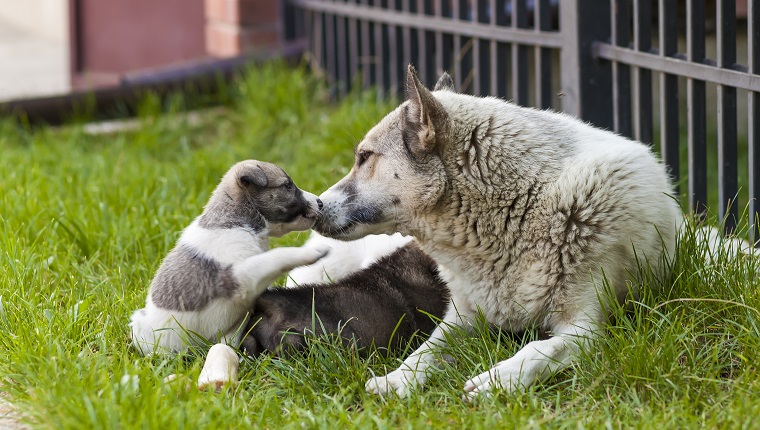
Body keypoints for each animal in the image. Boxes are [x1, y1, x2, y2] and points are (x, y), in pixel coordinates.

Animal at [130, 160, 330, 354]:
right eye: (287, 185)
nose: (320, 202)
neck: (240, 222)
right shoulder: (241, 275)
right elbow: (278, 255)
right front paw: (314, 251)